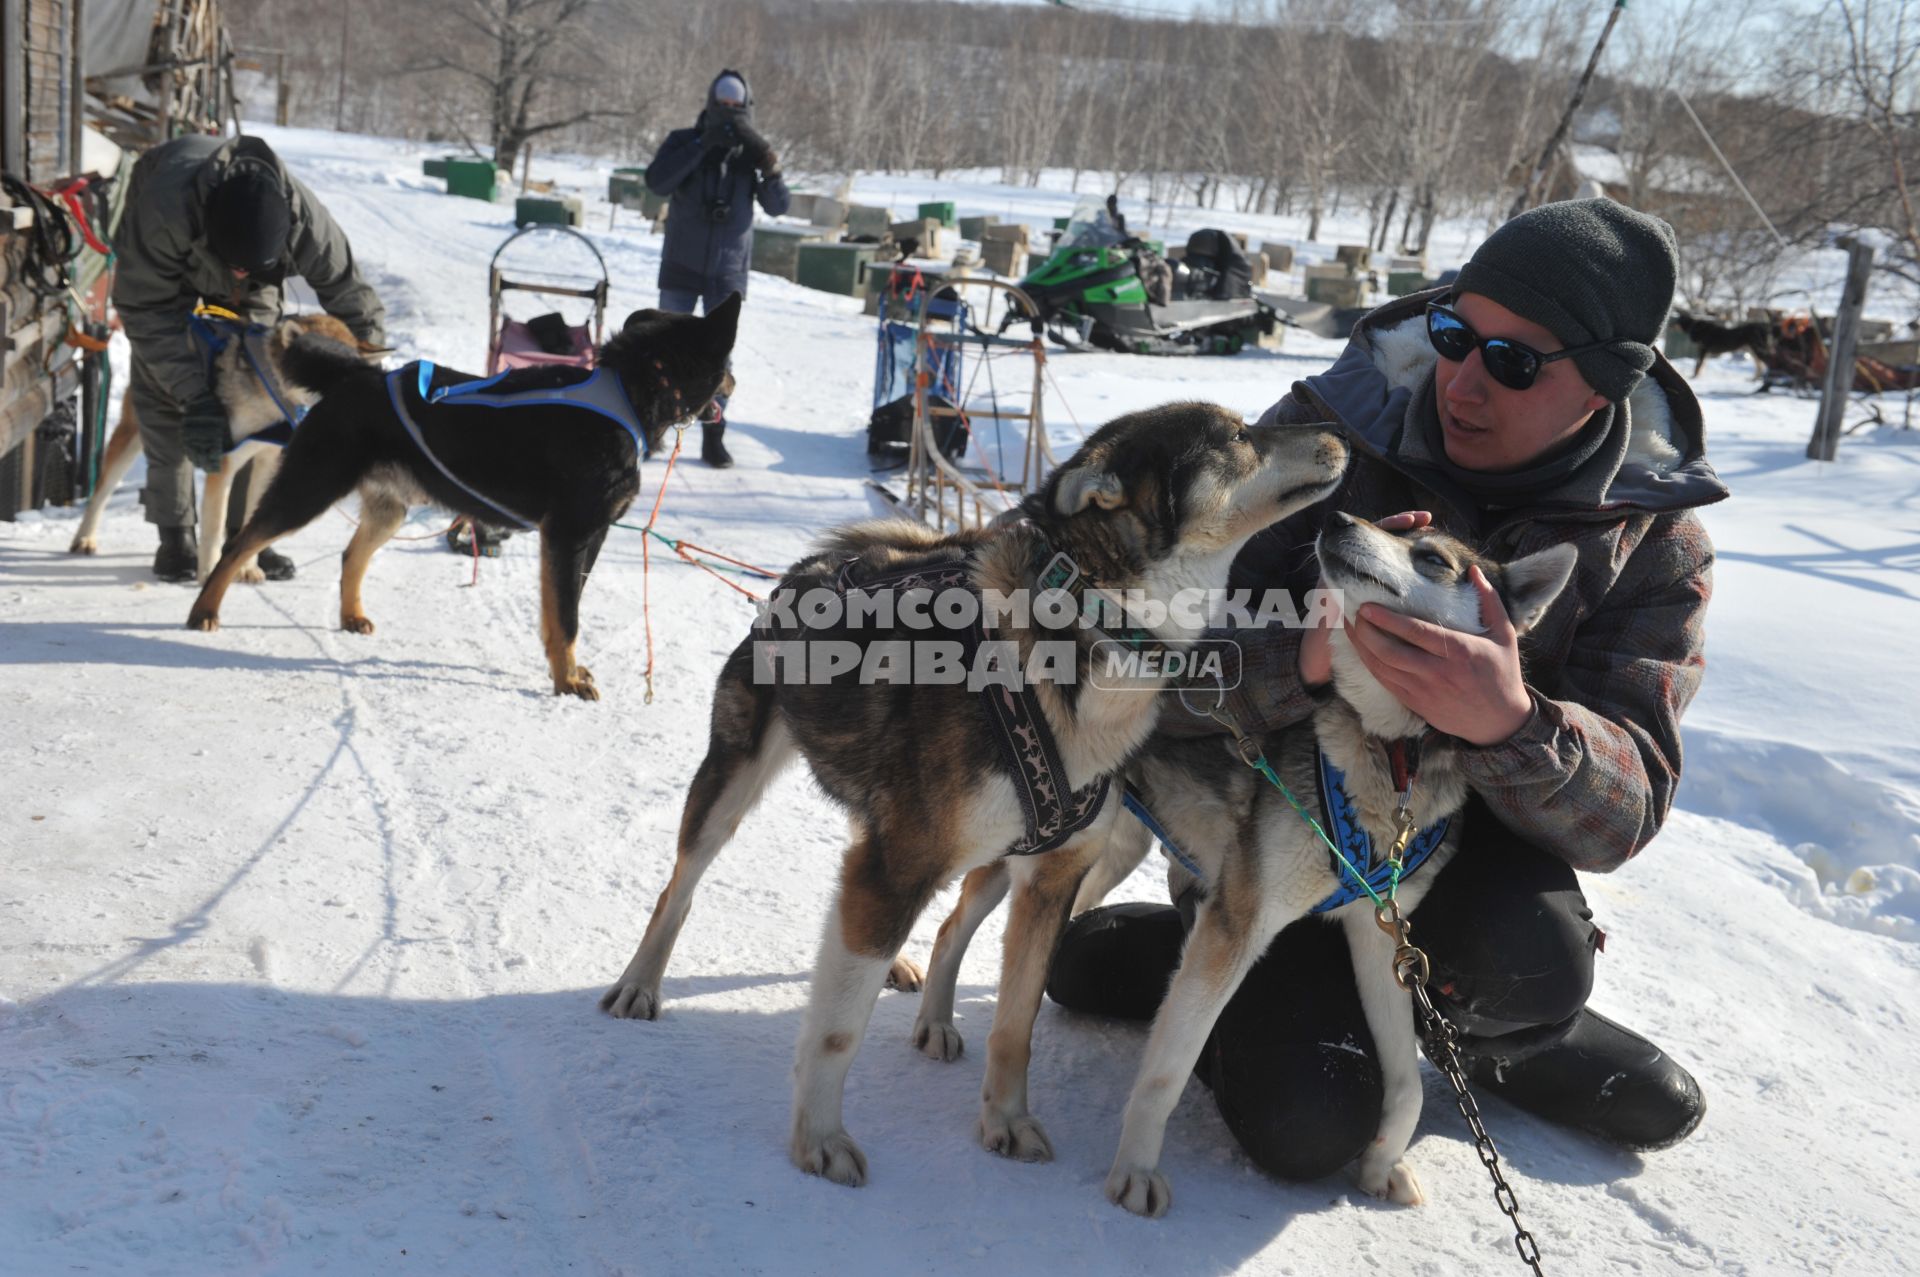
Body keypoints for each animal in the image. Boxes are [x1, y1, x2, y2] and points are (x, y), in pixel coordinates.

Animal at [70, 314, 382, 583]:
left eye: (350, 369)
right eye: (322, 367)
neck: (267, 390)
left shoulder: (266, 461)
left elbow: (246, 522)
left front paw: (248, 568)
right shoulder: (225, 463)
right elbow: (213, 525)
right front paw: (208, 572)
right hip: (136, 435)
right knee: (103, 492)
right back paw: (85, 539)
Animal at [187, 295, 741, 702]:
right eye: (728, 364)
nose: (735, 382)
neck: (627, 390)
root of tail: (357, 376)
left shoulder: (589, 537)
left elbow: (564, 612)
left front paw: (566, 670)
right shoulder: (568, 535)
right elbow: (566, 616)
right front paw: (566, 680)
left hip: (389, 508)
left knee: (349, 555)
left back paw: (350, 615)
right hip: (310, 487)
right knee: (238, 543)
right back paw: (204, 609)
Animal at [599, 405, 1351, 1182]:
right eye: (1237, 436)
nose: (1336, 431)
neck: (1084, 641)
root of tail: (824, 565)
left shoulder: (1051, 878)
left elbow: (1017, 1022)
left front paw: (1006, 1120)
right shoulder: (895, 865)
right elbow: (837, 1030)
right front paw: (817, 1137)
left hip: (956, 845)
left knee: (920, 915)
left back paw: (910, 977)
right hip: (736, 781)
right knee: (681, 887)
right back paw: (641, 982)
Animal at [913, 510, 1574, 1213]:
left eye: (1432, 558)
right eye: (1391, 525)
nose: (1338, 518)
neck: (1393, 756)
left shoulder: (1380, 936)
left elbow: (1409, 1084)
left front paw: (1381, 1163)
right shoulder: (1236, 926)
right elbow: (1169, 1069)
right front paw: (1136, 1169)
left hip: (1111, 849)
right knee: (954, 923)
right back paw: (935, 1021)